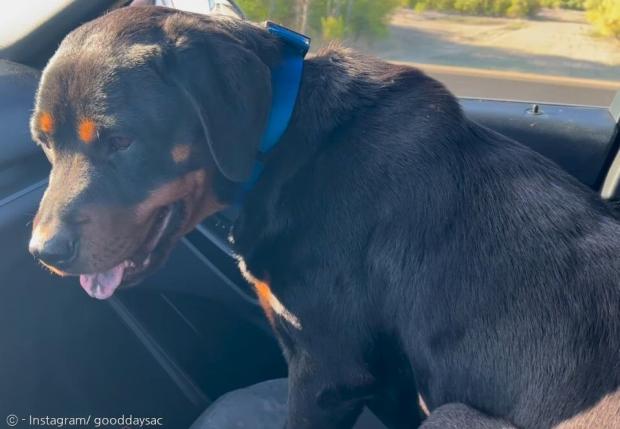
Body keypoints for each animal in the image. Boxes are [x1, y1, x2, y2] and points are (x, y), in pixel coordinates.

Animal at [27, 4, 620, 428]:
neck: (282, 143)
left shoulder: (327, 373)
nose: (42, 252)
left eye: (121, 141)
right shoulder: (383, 376)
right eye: (43, 141)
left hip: (454, 416)